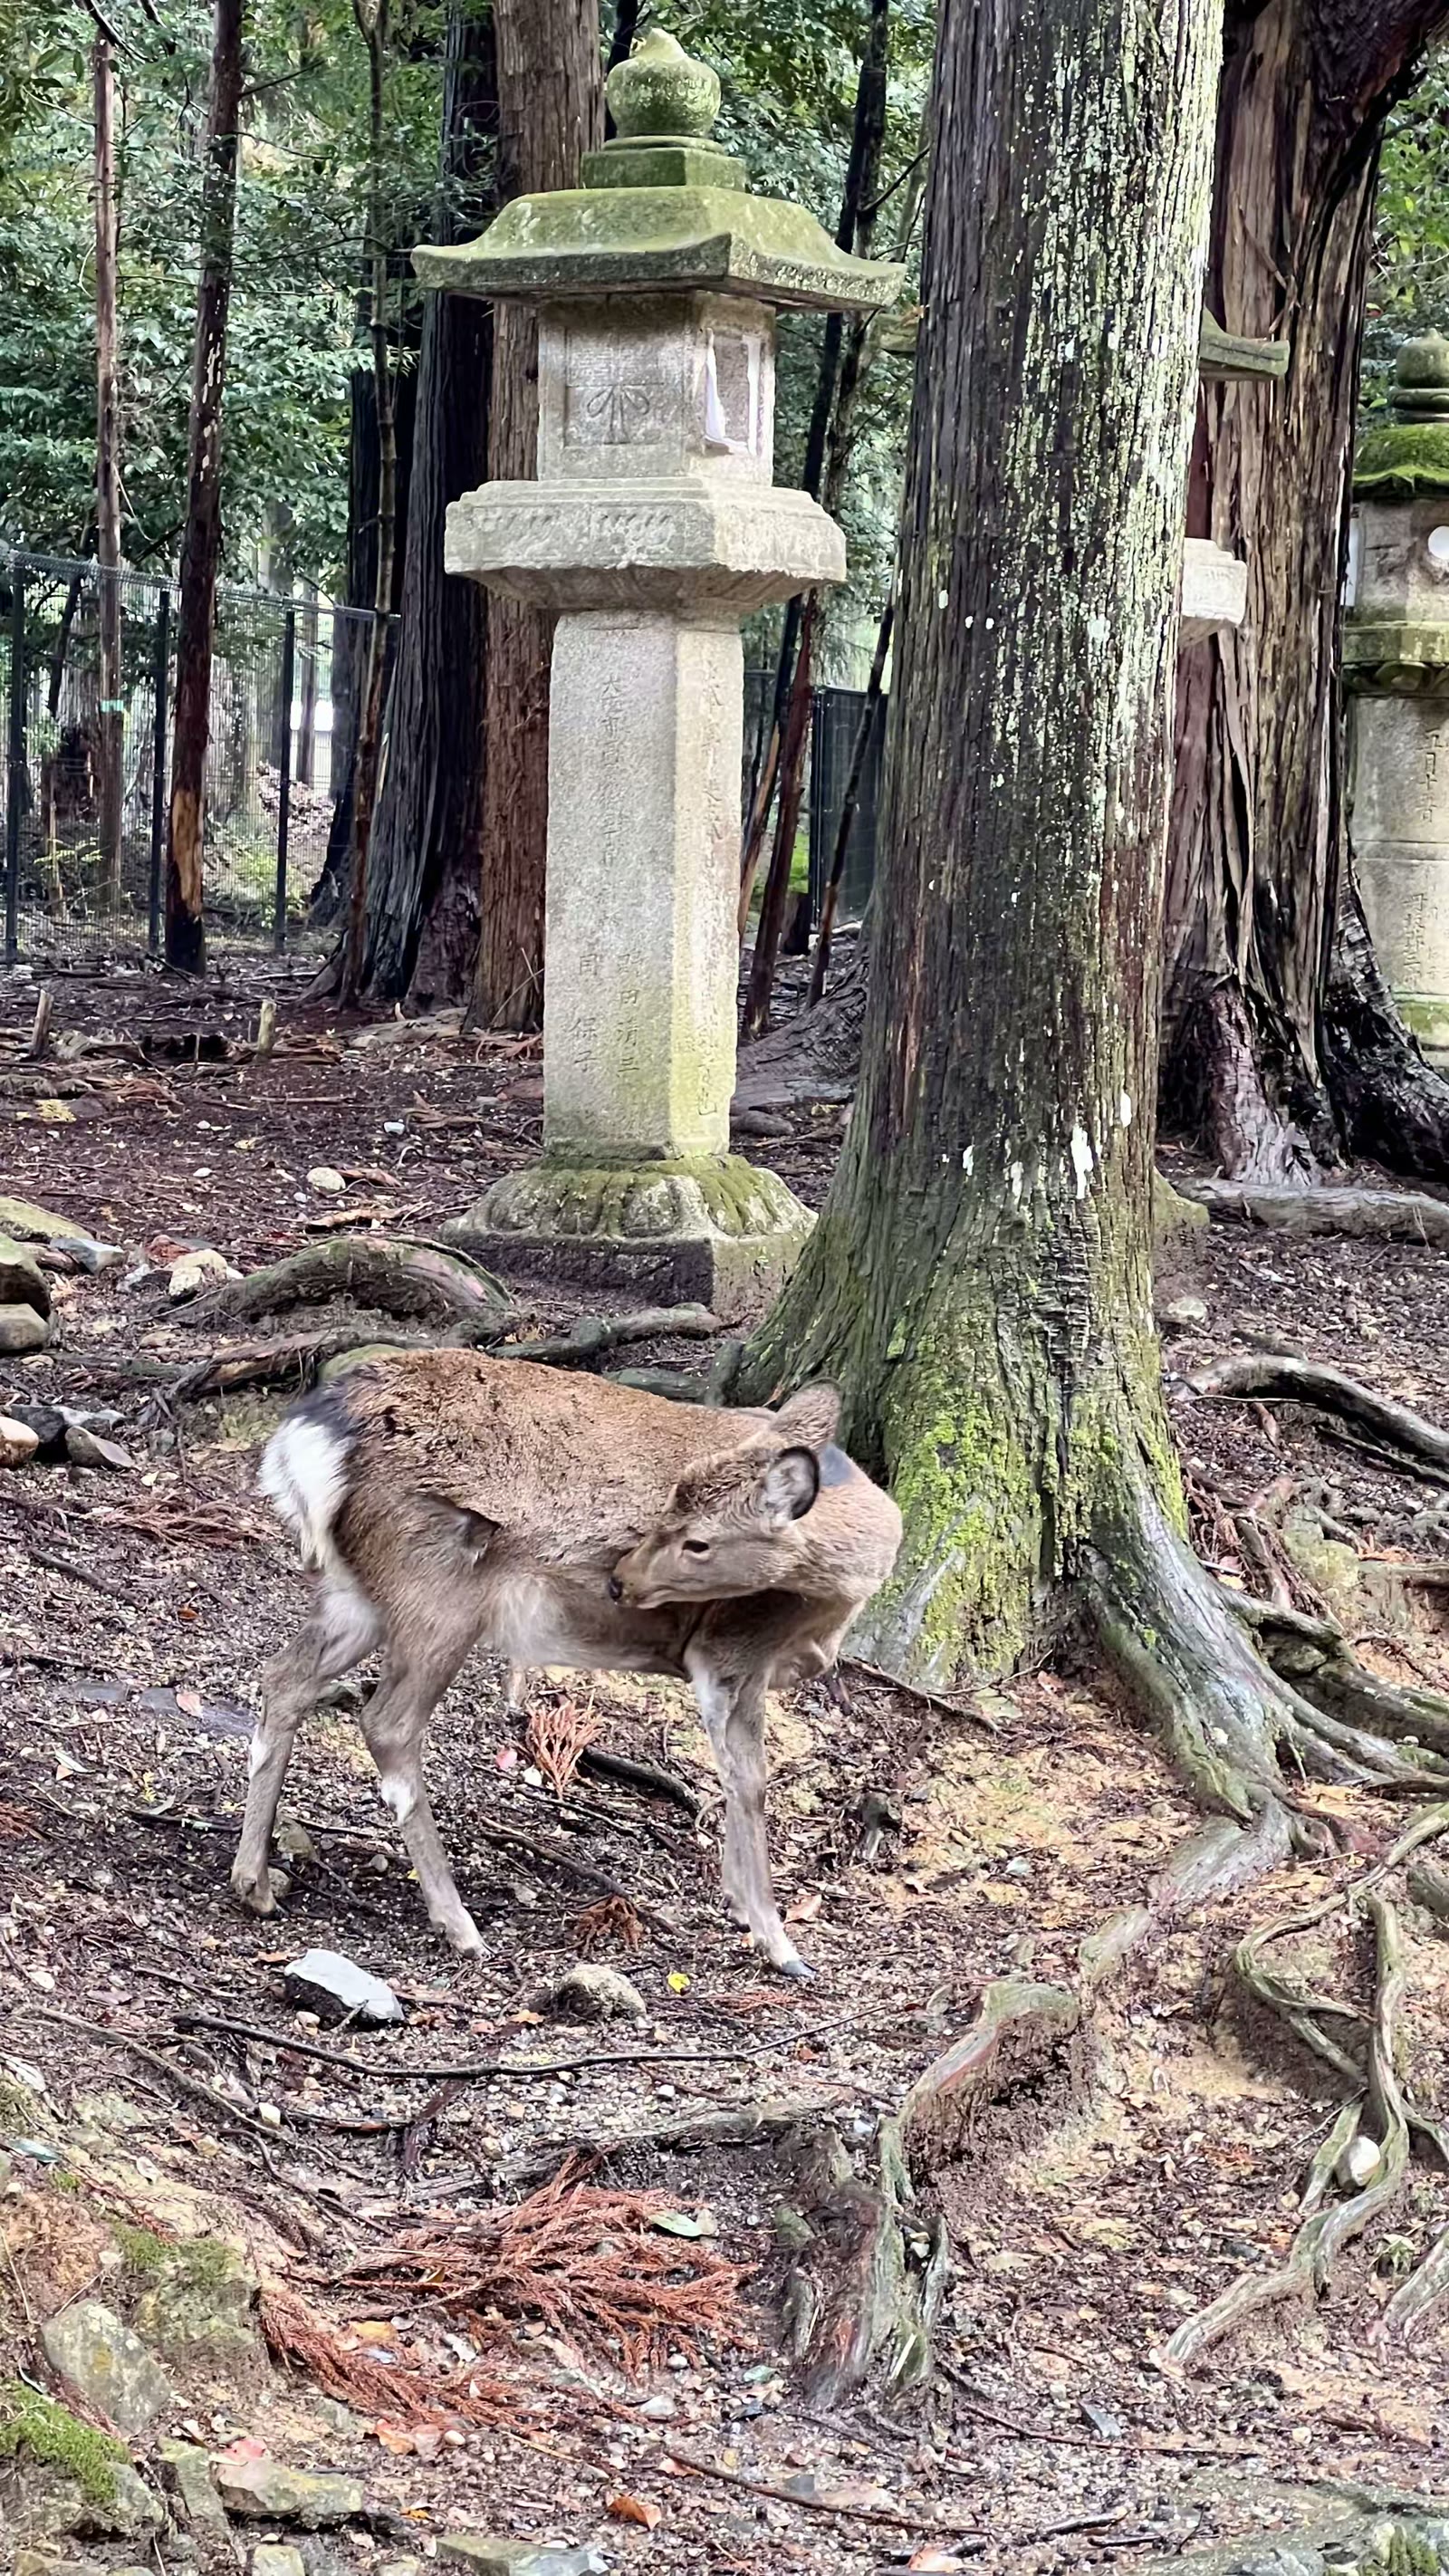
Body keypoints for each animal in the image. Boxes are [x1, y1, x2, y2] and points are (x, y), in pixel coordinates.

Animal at [235, 1348, 902, 1979]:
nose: (619, 1581)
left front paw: (742, 1908)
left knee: (283, 1678)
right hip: (435, 1592)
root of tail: (307, 1438)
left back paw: (255, 1882)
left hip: (357, 1593)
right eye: (673, 1512)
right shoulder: (730, 1648)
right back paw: (459, 1924)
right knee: (388, 1725)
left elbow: (735, 1778)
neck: (833, 1610)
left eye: (698, 1540)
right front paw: (777, 1940)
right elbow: (751, 1782)